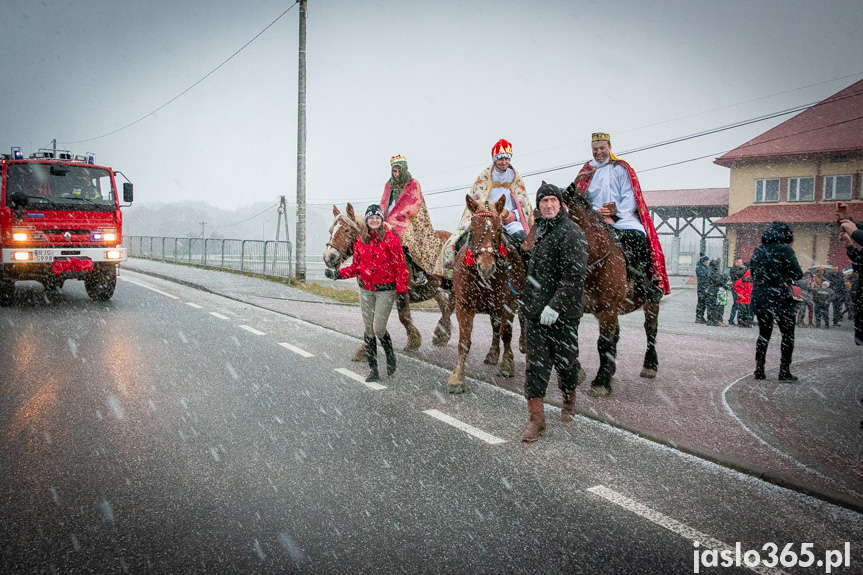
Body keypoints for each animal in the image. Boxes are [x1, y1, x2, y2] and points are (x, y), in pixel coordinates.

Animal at [324, 200, 456, 358]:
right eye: (331, 231)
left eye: (346, 230)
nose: (329, 257)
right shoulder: (370, 294)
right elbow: (371, 320)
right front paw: (365, 350)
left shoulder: (400, 293)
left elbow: (403, 317)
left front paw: (413, 341)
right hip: (434, 289)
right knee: (444, 306)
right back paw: (443, 333)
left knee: (450, 306)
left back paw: (440, 334)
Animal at [446, 196, 528, 394]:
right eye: (472, 230)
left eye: (498, 229)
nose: (486, 266)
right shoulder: (463, 305)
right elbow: (464, 341)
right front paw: (457, 377)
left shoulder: (509, 303)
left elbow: (506, 333)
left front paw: (507, 365)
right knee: (494, 327)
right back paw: (492, 353)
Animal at [552, 189, 660, 396]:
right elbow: (569, 337)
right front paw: (576, 373)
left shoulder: (608, 309)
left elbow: (603, 343)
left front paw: (601, 382)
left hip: (650, 302)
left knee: (650, 329)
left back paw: (650, 366)